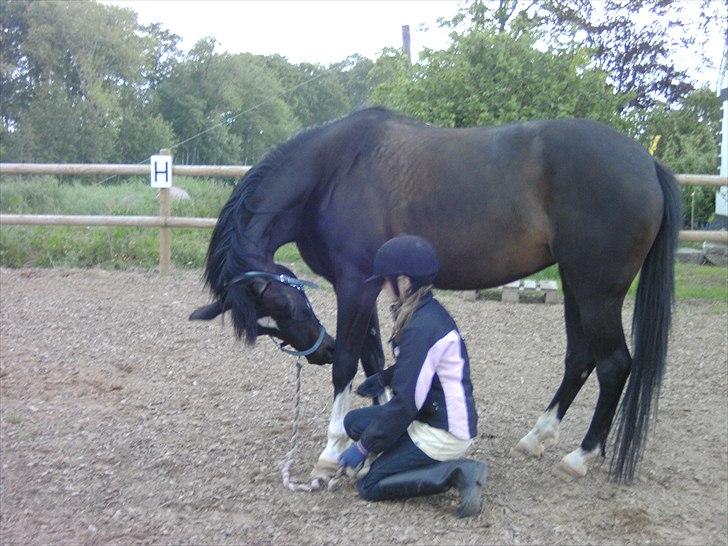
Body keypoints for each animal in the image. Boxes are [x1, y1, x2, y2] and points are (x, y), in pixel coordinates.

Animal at [191, 106, 680, 480]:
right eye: (266, 326)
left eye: (286, 304)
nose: (319, 351)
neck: (333, 171)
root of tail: (646, 163)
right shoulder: (366, 287)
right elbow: (374, 359)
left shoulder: (353, 285)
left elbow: (350, 364)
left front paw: (332, 451)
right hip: (576, 286)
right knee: (580, 359)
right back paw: (537, 437)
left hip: (598, 291)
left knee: (614, 364)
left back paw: (581, 456)